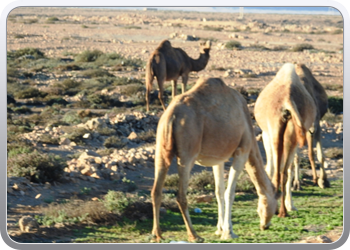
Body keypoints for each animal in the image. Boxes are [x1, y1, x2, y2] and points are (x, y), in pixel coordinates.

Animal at [152, 76, 278, 242]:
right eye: (275, 204)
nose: (266, 225)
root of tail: (171, 116)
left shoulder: (218, 159)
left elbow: (219, 191)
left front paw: (219, 229)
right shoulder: (242, 151)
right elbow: (230, 193)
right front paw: (229, 232)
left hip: (161, 149)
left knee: (156, 190)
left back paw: (157, 234)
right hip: (187, 154)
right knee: (181, 195)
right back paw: (194, 235)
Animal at [254, 63, 318, 217]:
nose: (313, 129)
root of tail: (288, 101)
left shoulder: (266, 135)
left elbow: (270, 168)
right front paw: (290, 205)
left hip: (275, 132)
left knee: (278, 171)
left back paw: (278, 209)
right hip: (290, 137)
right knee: (283, 171)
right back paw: (282, 210)